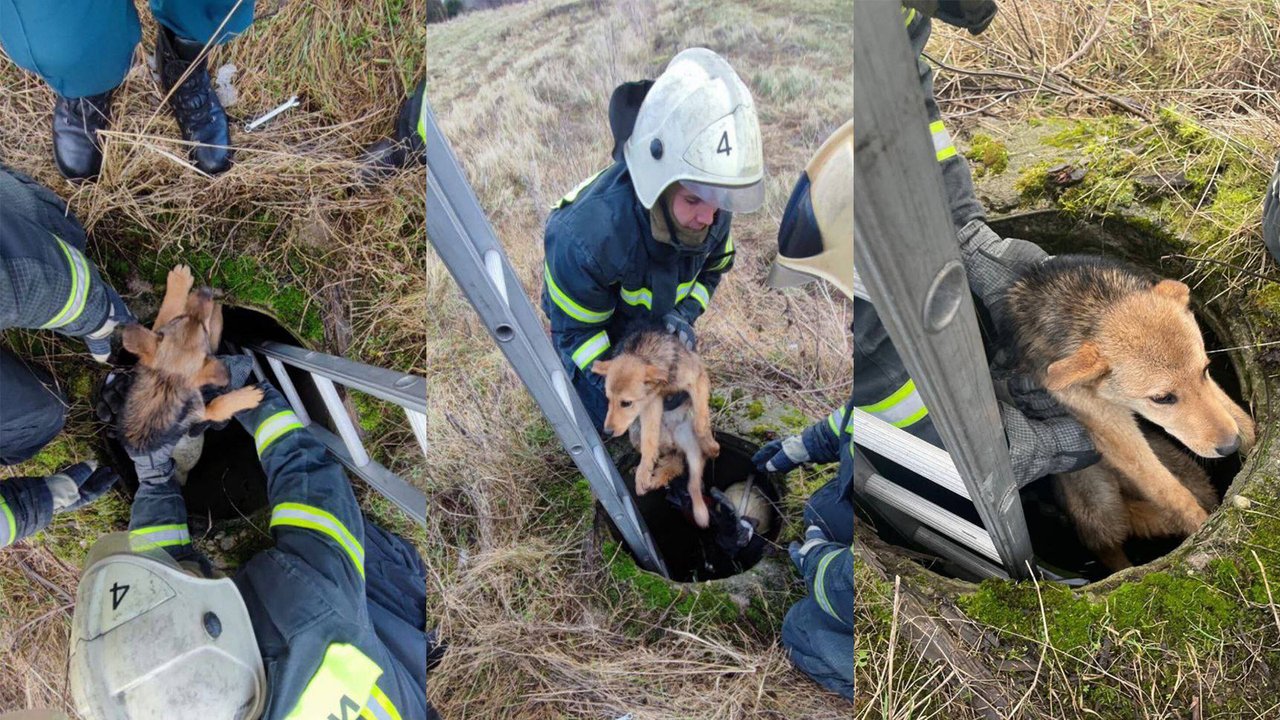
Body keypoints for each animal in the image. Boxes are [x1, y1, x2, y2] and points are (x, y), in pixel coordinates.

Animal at [120, 265, 262, 448]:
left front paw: (179, 281)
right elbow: (218, 404)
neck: (165, 384)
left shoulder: (157, 330)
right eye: (204, 329)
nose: (205, 291)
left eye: (181, 318)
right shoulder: (201, 413)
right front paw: (249, 396)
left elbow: (168, 308)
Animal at [591, 327, 721, 525]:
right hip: (636, 433)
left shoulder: (698, 379)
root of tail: (675, 444)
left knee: (692, 482)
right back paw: (653, 478)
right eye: (608, 399)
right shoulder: (651, 403)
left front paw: (710, 445)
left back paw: (700, 511)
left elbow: (700, 421)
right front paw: (644, 470)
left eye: (626, 403)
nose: (607, 431)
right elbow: (649, 441)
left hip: (690, 448)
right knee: (673, 467)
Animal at [1003, 253, 1254, 538]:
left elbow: (1237, 415)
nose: (1231, 445)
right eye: (1161, 398)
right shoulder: (1109, 423)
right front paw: (1200, 526)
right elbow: (1168, 491)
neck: (1091, 305)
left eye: (1205, 370)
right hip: (1099, 501)